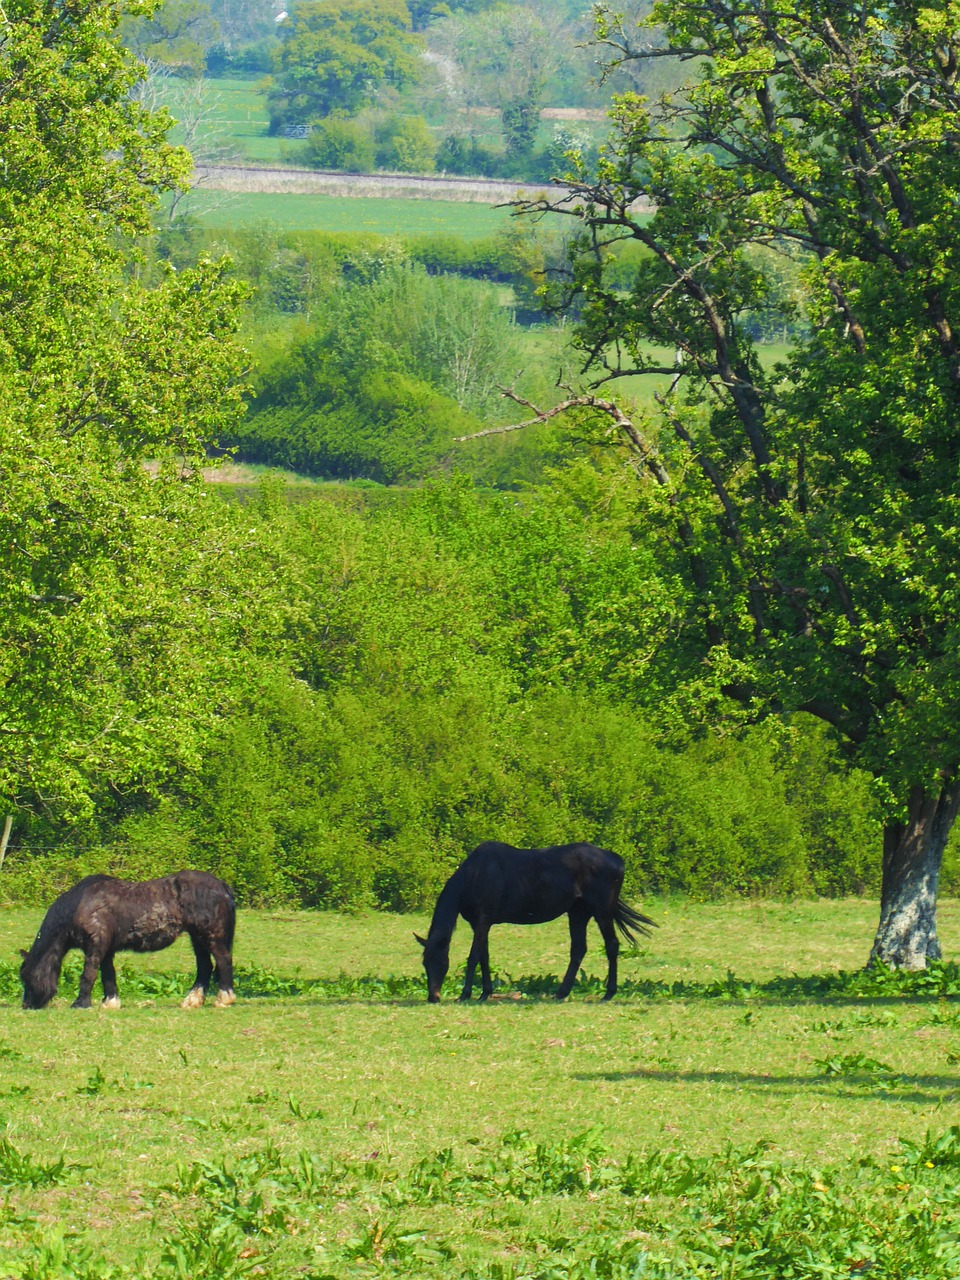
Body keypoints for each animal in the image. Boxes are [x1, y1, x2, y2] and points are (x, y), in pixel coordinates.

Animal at [19, 871, 237, 1010]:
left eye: (25, 976)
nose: (26, 1005)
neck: (82, 903)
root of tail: (223, 886)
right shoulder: (106, 949)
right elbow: (107, 974)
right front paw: (110, 1002)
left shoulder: (95, 945)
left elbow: (89, 974)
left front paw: (80, 1003)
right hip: (197, 938)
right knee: (205, 967)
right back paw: (192, 1001)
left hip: (210, 937)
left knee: (223, 960)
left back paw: (224, 999)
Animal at [415, 841, 655, 1003]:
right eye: (425, 963)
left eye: (440, 961)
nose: (433, 996)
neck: (474, 875)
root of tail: (618, 860)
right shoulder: (479, 923)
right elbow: (484, 956)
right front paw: (485, 992)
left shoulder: (483, 919)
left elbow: (473, 956)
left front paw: (465, 994)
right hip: (578, 913)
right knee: (578, 949)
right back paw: (561, 993)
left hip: (602, 911)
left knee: (611, 946)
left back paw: (608, 993)